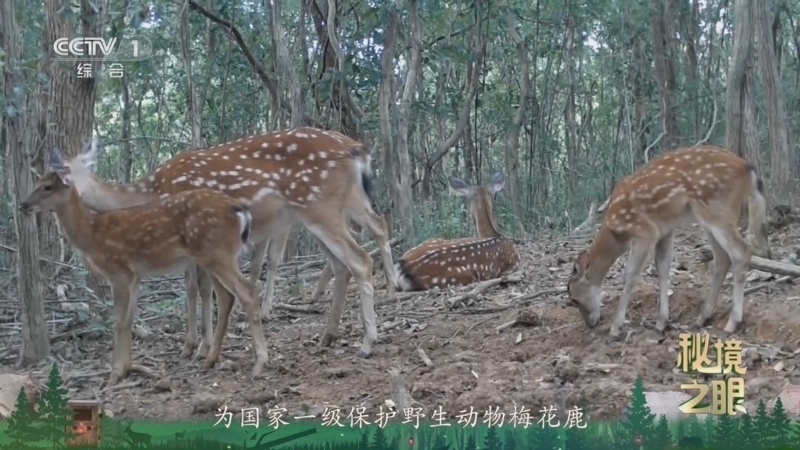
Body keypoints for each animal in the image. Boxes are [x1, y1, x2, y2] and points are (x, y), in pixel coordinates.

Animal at [19, 147, 269, 387]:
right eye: (37, 181)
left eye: (48, 187)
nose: (23, 204)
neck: (92, 235)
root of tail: (239, 209)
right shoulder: (136, 274)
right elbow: (129, 319)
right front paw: (127, 369)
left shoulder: (118, 271)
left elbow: (118, 321)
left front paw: (114, 376)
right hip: (215, 256)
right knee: (228, 296)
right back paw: (210, 359)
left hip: (216, 253)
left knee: (247, 291)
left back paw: (259, 364)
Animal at [63, 127, 394, 360]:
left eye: (65, 170)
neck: (152, 190)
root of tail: (354, 148)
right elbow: (198, 288)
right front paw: (197, 345)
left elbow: (198, 288)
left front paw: (196, 346)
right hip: (334, 206)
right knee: (357, 247)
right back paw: (330, 334)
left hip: (320, 206)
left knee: (360, 258)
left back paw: (368, 340)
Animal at [567, 145, 771, 343]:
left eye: (574, 299)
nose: (590, 324)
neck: (617, 232)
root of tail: (749, 169)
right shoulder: (664, 231)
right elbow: (663, 268)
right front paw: (661, 323)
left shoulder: (645, 231)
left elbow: (630, 275)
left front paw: (615, 330)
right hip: (710, 217)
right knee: (722, 258)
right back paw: (701, 318)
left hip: (716, 209)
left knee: (741, 252)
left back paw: (731, 323)